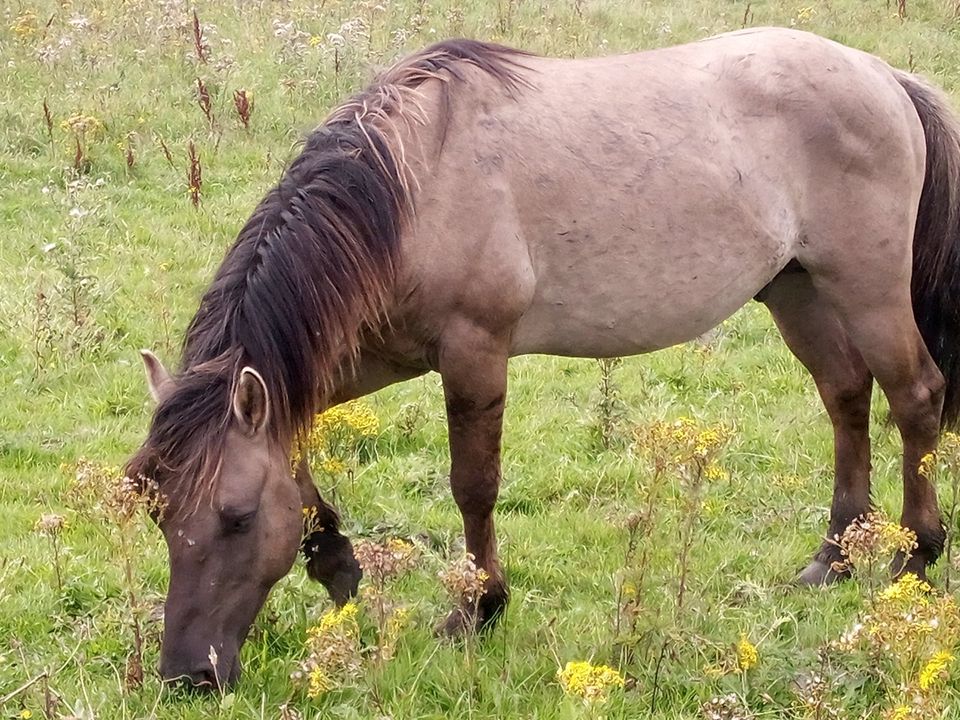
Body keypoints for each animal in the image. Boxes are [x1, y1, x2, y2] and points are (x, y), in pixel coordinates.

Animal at [125, 28, 960, 688]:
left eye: (235, 519)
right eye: (154, 509)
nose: (188, 675)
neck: (409, 190)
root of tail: (882, 74)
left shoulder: (473, 351)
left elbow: (473, 488)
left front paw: (477, 607)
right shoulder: (352, 361)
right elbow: (296, 457)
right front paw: (337, 562)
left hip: (865, 286)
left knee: (915, 396)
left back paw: (914, 558)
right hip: (796, 289)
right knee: (846, 396)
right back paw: (834, 559)